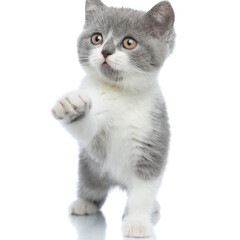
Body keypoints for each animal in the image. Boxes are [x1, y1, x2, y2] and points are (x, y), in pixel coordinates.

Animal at [51, 0, 174, 236]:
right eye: (96, 38)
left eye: (129, 42)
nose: (106, 51)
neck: (120, 93)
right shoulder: (96, 133)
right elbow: (87, 130)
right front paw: (73, 107)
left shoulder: (152, 141)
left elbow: (143, 189)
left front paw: (136, 222)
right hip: (89, 166)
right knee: (92, 186)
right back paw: (84, 202)